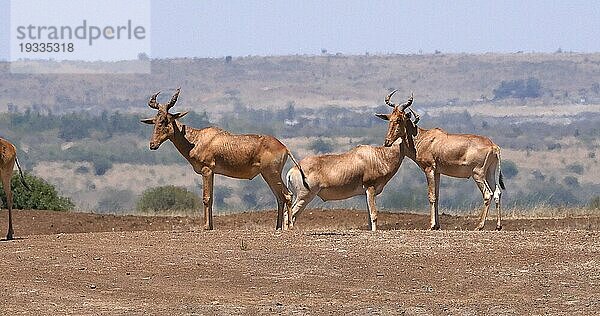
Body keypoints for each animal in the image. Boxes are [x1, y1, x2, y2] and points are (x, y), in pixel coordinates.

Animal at [141, 87, 308, 231]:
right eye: (154, 121)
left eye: (165, 120)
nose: (152, 145)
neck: (198, 139)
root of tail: (284, 147)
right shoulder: (212, 172)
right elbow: (212, 198)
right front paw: (211, 226)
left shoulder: (207, 170)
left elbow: (206, 198)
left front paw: (206, 227)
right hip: (268, 175)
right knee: (279, 197)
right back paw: (278, 227)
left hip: (272, 173)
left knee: (287, 195)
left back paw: (289, 227)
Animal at [284, 95, 412, 231]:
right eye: (393, 119)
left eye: (400, 118)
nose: (387, 141)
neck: (377, 155)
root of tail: (293, 170)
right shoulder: (370, 188)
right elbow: (374, 215)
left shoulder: (366, 192)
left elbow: (368, 218)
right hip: (304, 196)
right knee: (289, 214)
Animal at [378, 90, 504, 231]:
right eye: (390, 118)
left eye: (399, 119)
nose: (387, 142)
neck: (422, 138)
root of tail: (493, 146)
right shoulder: (437, 172)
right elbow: (437, 196)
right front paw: (437, 225)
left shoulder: (429, 169)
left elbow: (431, 196)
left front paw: (432, 225)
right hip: (489, 172)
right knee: (497, 192)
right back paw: (498, 226)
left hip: (478, 174)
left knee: (488, 194)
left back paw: (479, 226)